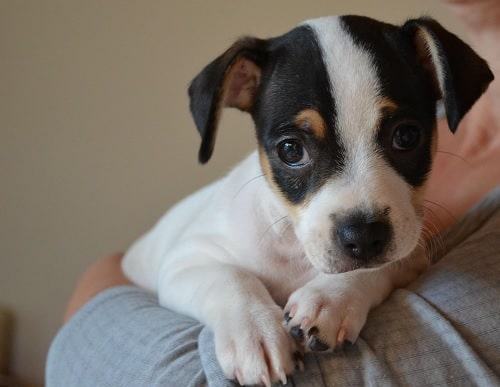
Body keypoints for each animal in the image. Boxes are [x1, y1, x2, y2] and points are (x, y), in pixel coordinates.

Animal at [122, 13, 492, 386]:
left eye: (405, 136)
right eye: (291, 150)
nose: (363, 237)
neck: (294, 249)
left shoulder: (409, 250)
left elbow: (375, 267)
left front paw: (330, 298)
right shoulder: (185, 260)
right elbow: (231, 278)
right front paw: (255, 333)